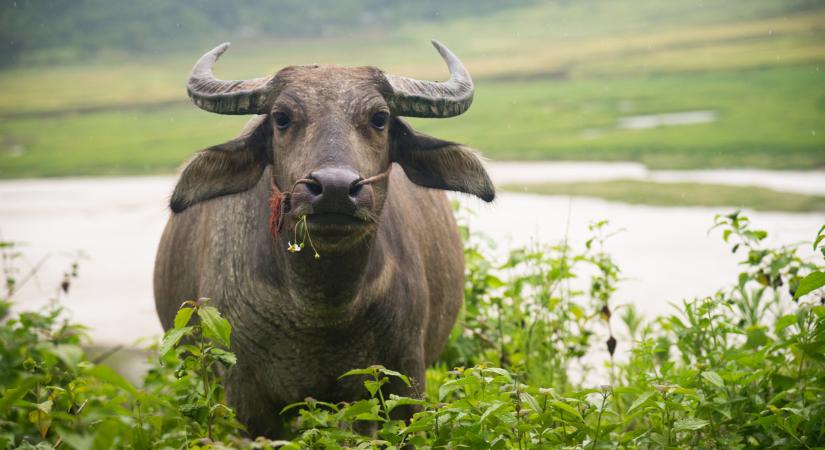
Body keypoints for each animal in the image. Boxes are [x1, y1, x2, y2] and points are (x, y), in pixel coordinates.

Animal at [152, 41, 492, 436]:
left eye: (379, 118)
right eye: (281, 118)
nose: (334, 189)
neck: (319, 309)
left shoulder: (402, 380)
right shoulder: (245, 396)